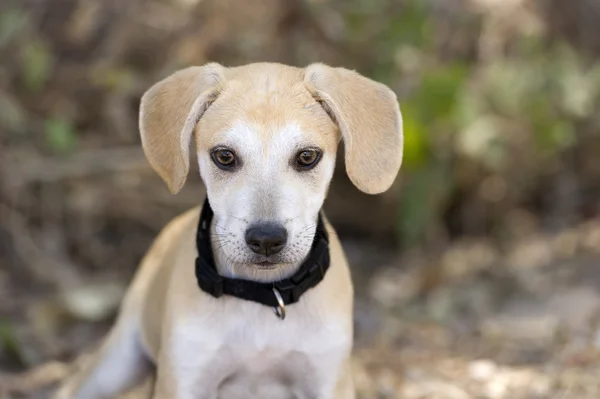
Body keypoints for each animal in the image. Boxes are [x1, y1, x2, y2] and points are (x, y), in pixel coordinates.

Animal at [54, 62, 406, 399]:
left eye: (307, 156)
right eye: (224, 156)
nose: (266, 240)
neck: (263, 296)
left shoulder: (327, 379)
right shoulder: (185, 378)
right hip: (114, 364)